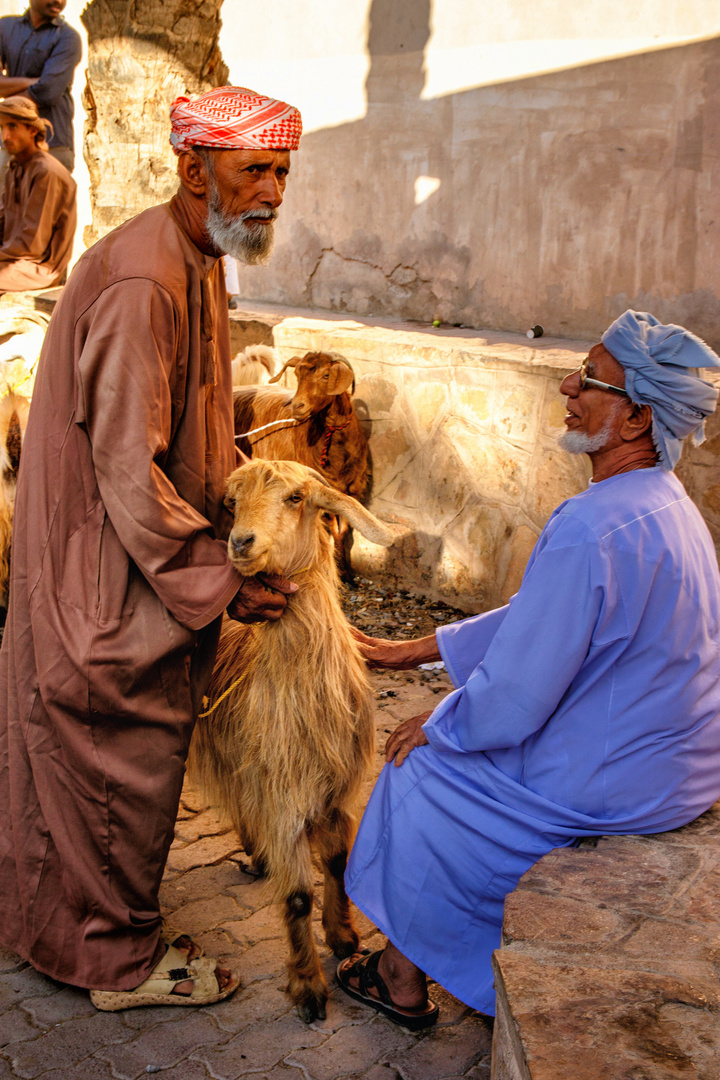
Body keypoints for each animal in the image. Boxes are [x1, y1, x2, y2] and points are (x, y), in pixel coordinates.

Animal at [189, 460, 395, 1023]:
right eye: (232, 502)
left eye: (296, 498)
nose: (240, 541)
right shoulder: (283, 795)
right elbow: (299, 896)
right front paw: (308, 986)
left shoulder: (337, 792)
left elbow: (339, 862)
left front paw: (344, 936)